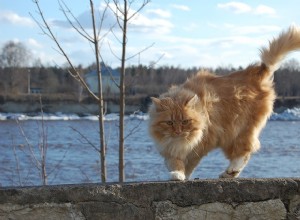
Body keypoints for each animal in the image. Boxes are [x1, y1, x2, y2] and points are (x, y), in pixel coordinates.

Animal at [149, 25, 300, 180]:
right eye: (169, 123)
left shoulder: (201, 144)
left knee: (244, 153)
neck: (180, 142)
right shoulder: (169, 149)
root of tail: (258, 71)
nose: (178, 131)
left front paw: (183, 175)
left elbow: (189, 163)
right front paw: (177, 173)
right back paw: (229, 174)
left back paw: (230, 171)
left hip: (237, 132)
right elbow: (174, 162)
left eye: (185, 121)